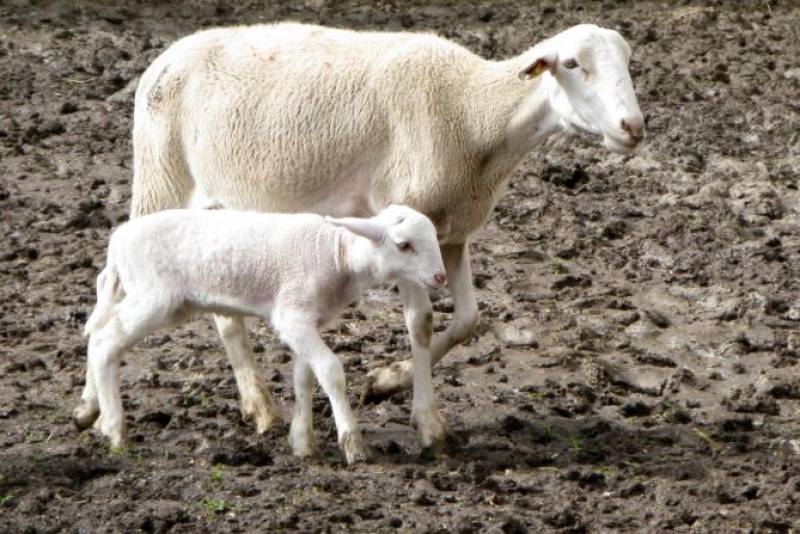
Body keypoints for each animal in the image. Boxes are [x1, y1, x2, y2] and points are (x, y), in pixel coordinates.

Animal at [73, 205, 447, 464]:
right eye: (404, 245)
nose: (440, 277)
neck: (337, 254)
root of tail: (118, 242)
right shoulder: (291, 315)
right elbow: (330, 372)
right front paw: (352, 444)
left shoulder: (305, 319)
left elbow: (304, 378)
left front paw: (302, 442)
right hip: (153, 296)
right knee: (105, 342)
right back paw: (116, 429)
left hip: (150, 297)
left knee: (98, 332)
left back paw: (95, 414)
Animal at [131, 22, 644, 451]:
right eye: (573, 63)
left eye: (627, 60)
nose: (633, 127)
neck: (475, 113)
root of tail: (167, 55)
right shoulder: (406, 224)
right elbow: (422, 322)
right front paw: (428, 423)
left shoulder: (452, 235)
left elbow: (468, 320)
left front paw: (387, 380)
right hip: (162, 181)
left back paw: (258, 406)